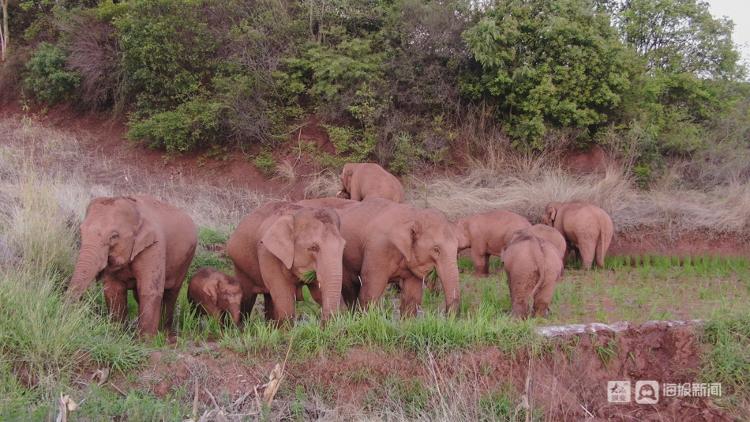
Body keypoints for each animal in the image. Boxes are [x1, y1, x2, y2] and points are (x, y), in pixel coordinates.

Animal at [67, 196, 197, 338]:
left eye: (114, 236)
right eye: (81, 231)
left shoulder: (155, 245)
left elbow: (150, 290)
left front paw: (145, 340)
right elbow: (114, 290)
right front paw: (117, 333)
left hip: (186, 258)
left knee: (171, 293)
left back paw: (165, 333)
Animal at [302, 198, 462, 316]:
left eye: (456, 248)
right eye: (436, 249)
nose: (446, 316)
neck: (413, 215)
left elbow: (412, 296)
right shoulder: (378, 249)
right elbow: (371, 291)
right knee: (350, 289)